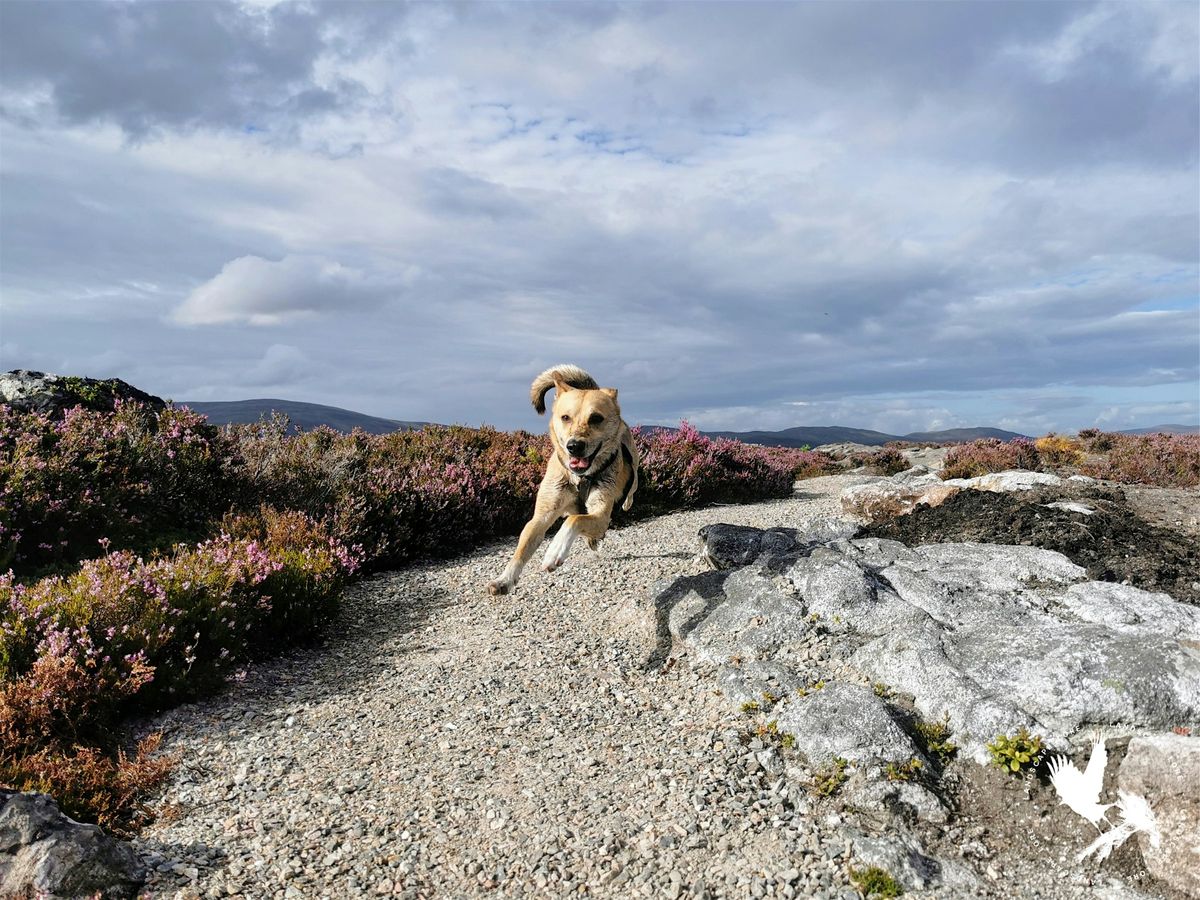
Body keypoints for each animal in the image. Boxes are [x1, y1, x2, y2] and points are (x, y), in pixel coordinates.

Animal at [484, 362, 643, 595]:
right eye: (565, 417)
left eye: (596, 418)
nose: (574, 446)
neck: (579, 478)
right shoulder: (542, 516)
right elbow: (522, 547)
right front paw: (505, 579)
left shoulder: (601, 513)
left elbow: (573, 520)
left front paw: (554, 551)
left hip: (634, 465)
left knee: (632, 487)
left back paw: (625, 504)